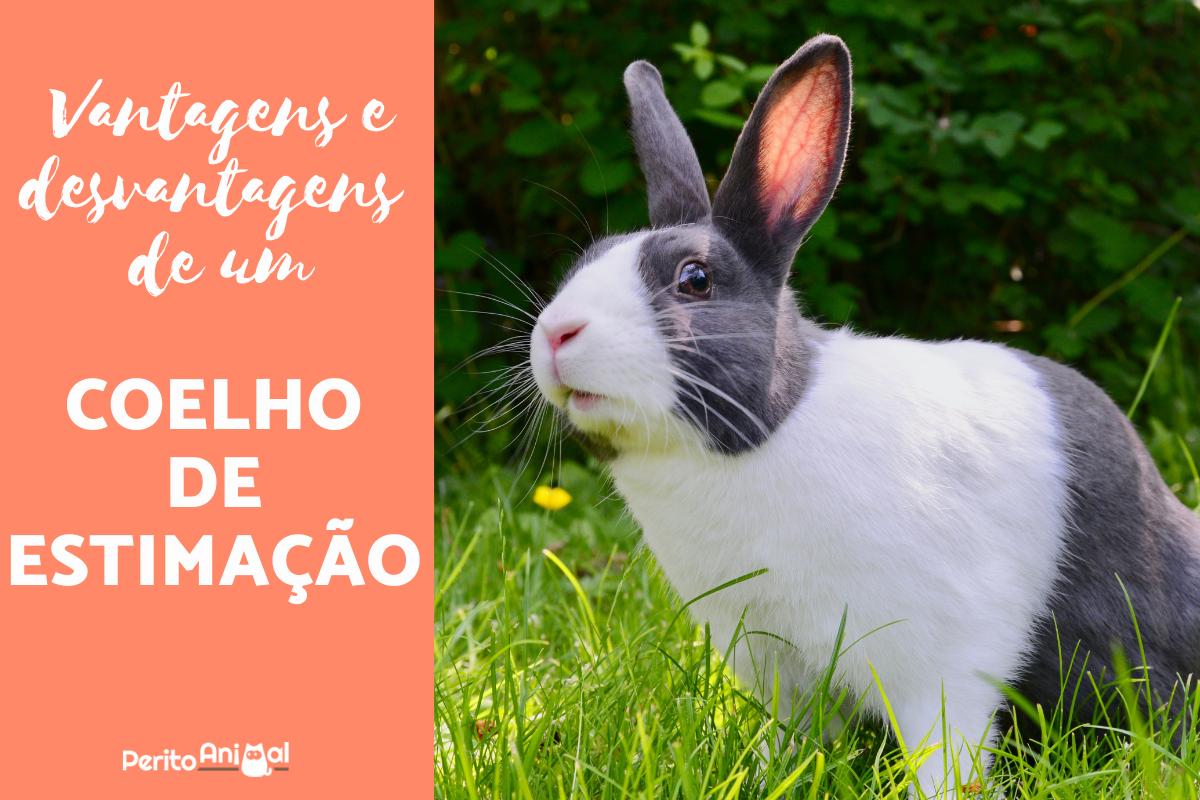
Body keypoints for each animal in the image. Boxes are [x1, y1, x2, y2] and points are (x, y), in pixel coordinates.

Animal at [527, 34, 1200, 796]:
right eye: (585, 260)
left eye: (694, 280)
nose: (556, 335)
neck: (765, 435)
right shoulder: (777, 663)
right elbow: (790, 737)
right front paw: (768, 775)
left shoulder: (938, 661)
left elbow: (946, 748)